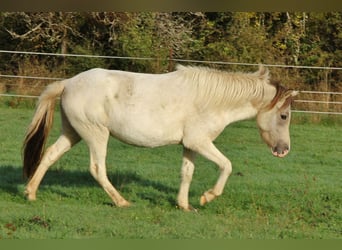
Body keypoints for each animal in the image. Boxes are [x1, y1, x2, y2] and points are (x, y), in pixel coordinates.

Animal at [22, 65, 298, 211]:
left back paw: (30, 193)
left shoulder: (190, 145)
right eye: (284, 116)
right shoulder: (201, 142)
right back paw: (122, 202)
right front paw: (207, 196)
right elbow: (227, 165)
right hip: (96, 135)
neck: (211, 100)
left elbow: (187, 172)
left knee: (49, 155)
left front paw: (184, 205)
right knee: (97, 168)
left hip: (73, 133)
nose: (284, 150)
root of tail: (68, 83)